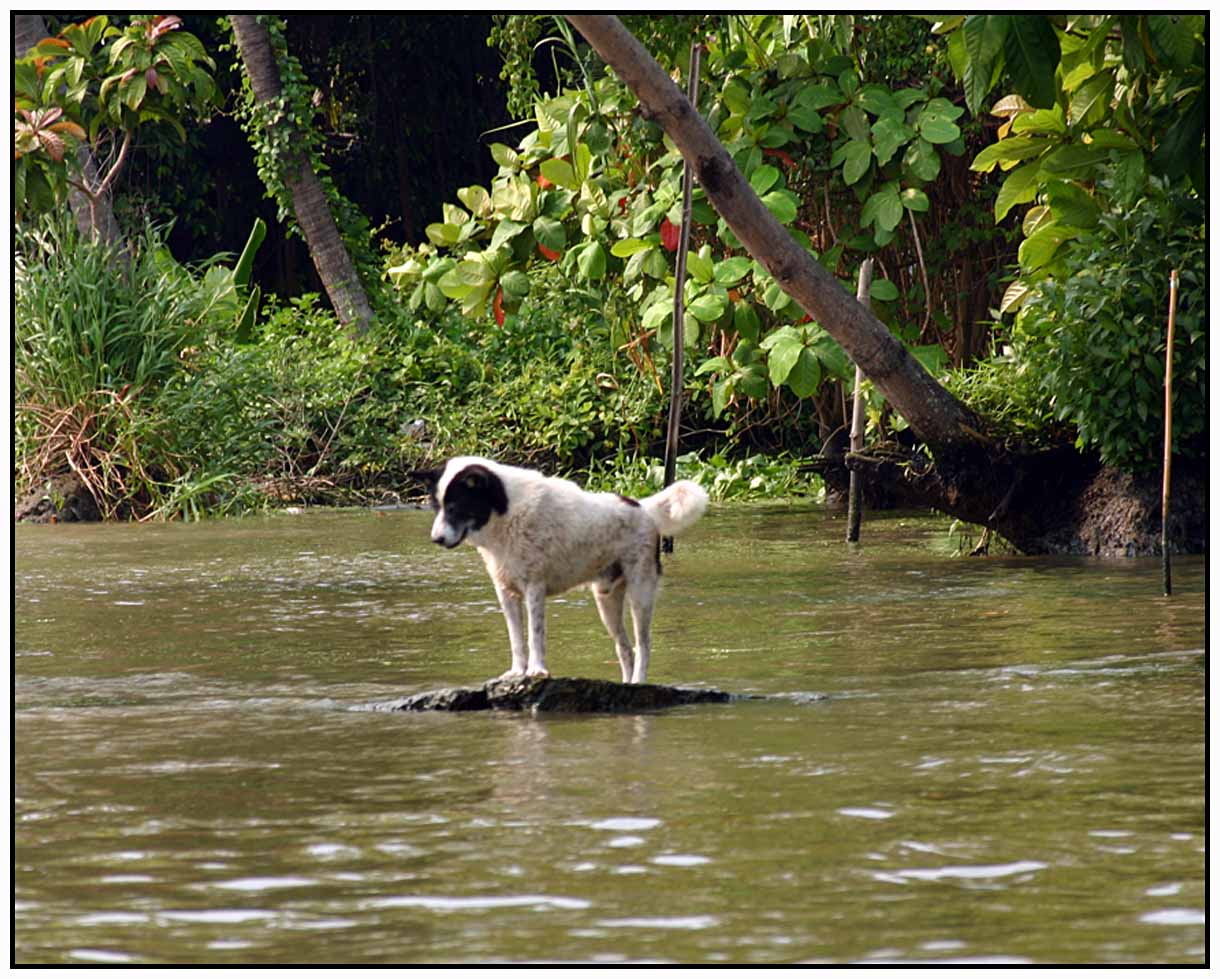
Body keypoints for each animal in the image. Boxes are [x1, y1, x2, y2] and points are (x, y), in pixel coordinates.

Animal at [417, 456, 712, 678]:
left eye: (455, 507)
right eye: (437, 508)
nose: (436, 539)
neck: (506, 512)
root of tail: (643, 507)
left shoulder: (534, 588)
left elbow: (535, 636)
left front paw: (537, 670)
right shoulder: (506, 592)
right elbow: (516, 640)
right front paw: (517, 672)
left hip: (641, 594)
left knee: (644, 647)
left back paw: (639, 683)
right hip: (606, 602)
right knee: (625, 649)